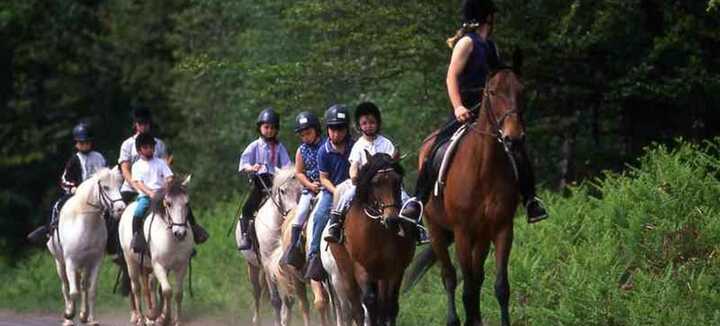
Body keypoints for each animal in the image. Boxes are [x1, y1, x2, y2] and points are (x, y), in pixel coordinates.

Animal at [47, 168, 125, 326]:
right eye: (106, 187)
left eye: (119, 186)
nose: (121, 208)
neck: (86, 224)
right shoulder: (71, 262)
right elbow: (73, 292)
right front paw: (70, 314)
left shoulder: (95, 262)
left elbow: (92, 291)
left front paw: (91, 319)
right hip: (60, 263)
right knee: (65, 286)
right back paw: (68, 318)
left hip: (84, 265)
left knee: (83, 286)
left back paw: (84, 315)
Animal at [121, 176, 194, 326]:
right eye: (168, 203)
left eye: (187, 203)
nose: (180, 233)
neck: (172, 239)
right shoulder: (159, 265)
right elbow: (167, 291)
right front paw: (165, 318)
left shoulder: (181, 265)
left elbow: (178, 293)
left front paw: (175, 320)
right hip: (131, 262)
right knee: (136, 288)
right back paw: (141, 318)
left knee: (152, 286)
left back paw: (153, 314)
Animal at [336, 153, 420, 326]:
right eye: (375, 183)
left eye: (397, 180)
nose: (392, 220)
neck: (379, 233)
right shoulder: (361, 267)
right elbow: (369, 302)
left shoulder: (396, 269)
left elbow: (390, 305)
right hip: (346, 273)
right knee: (358, 309)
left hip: (382, 274)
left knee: (383, 303)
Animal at [410, 64, 528, 326]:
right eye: (492, 92)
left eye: (521, 91)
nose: (513, 138)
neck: (484, 167)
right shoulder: (462, 233)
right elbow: (466, 286)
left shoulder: (502, 229)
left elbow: (500, 286)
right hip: (437, 231)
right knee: (450, 277)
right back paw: (454, 319)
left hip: (480, 236)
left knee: (477, 276)